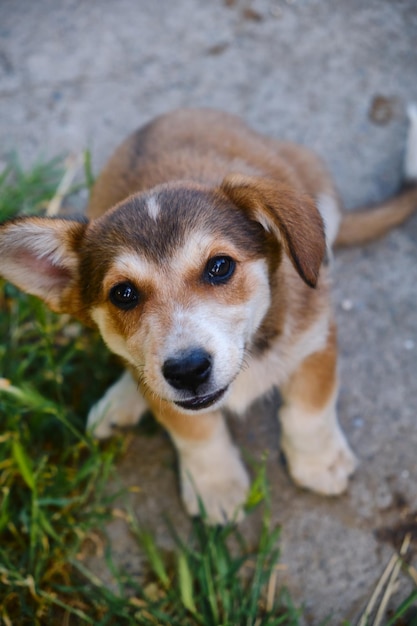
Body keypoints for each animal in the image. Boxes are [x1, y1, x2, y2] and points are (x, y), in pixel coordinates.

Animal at [0, 107, 416, 520]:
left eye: (220, 266)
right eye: (123, 294)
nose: (187, 371)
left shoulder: (314, 337)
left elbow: (309, 408)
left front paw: (319, 463)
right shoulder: (174, 398)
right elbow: (196, 433)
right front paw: (215, 487)